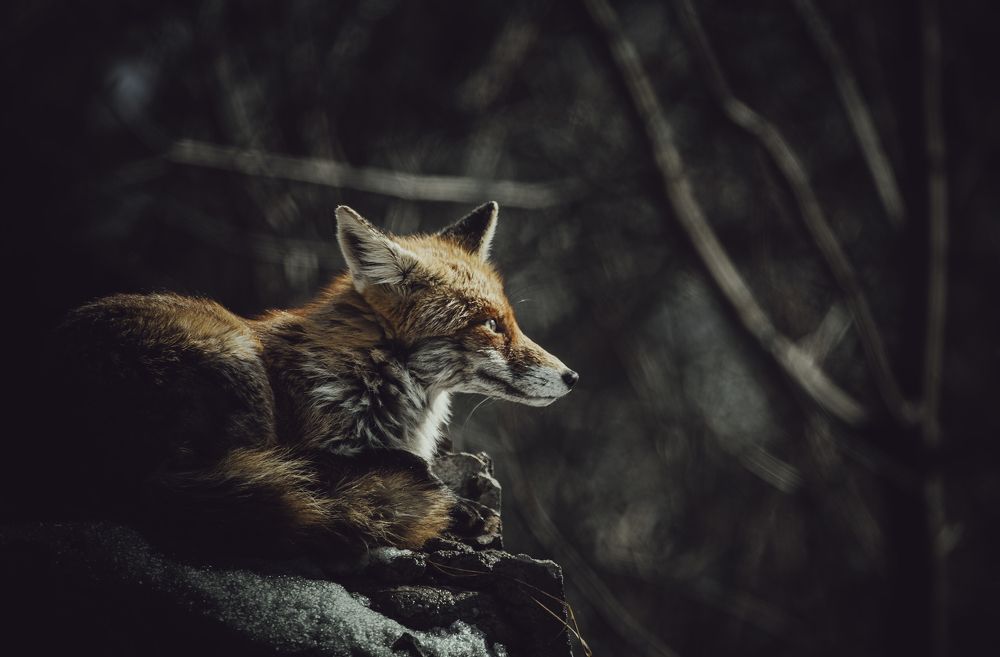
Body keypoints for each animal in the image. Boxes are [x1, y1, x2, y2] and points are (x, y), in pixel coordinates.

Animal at [40, 202, 577, 556]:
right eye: (490, 324)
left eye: (511, 320)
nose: (571, 376)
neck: (371, 373)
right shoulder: (311, 451)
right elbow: (413, 472)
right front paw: (465, 511)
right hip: (238, 371)